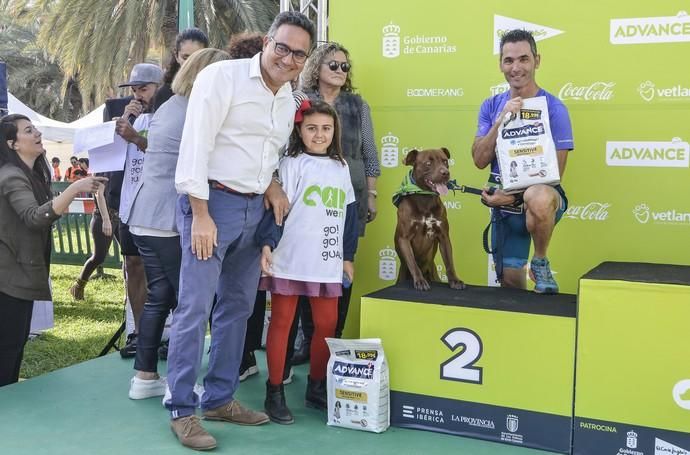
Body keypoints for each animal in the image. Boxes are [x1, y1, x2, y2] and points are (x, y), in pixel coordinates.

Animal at [392, 150, 462, 292]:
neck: (425, 198)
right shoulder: (404, 238)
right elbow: (412, 262)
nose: (445, 172)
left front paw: (454, 280)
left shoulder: (444, 236)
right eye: (428, 163)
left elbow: (449, 262)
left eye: (445, 161)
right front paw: (420, 281)